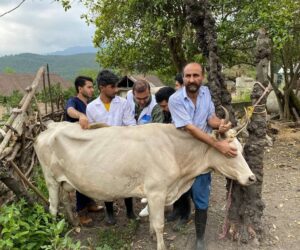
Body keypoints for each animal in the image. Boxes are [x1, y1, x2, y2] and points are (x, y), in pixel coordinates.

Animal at [34, 122, 255, 250]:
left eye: (241, 148)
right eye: (231, 152)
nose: (251, 178)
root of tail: (50, 128)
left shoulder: (155, 192)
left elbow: (153, 221)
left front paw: (149, 233)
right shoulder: (157, 191)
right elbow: (160, 224)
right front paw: (160, 245)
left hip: (63, 181)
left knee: (65, 201)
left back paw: (74, 224)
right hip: (50, 179)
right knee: (53, 207)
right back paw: (54, 233)